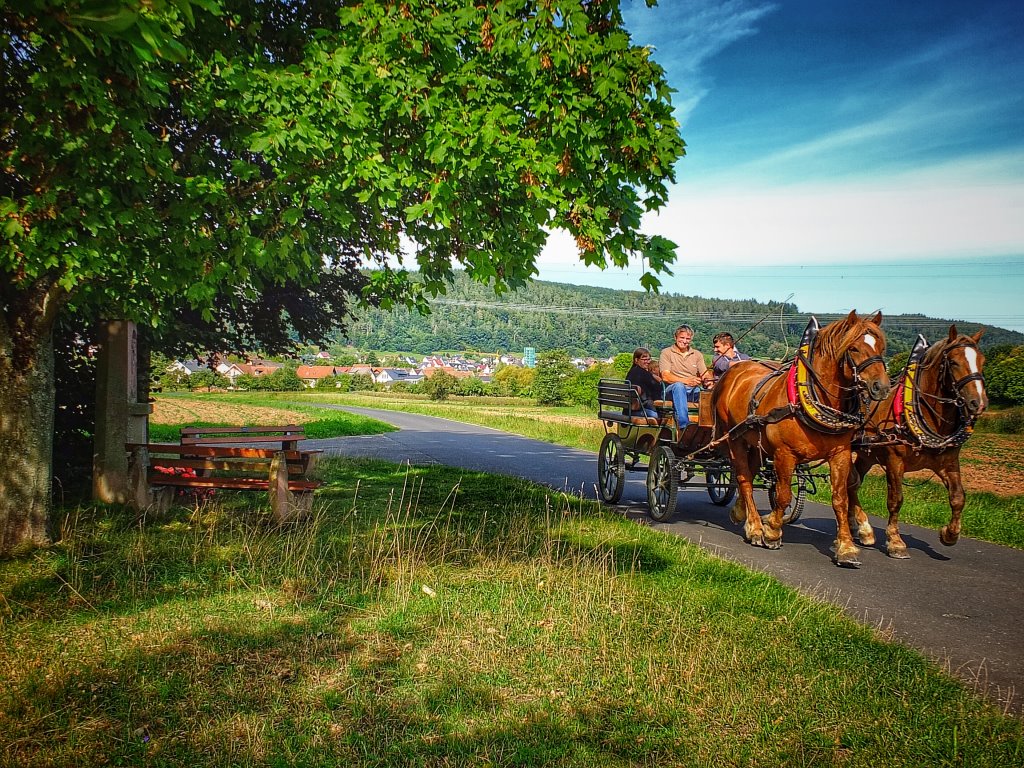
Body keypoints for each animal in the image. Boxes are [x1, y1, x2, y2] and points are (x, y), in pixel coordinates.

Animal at [712, 309, 888, 569]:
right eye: (854, 348)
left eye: (882, 347)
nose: (881, 387)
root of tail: (732, 371)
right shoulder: (785, 453)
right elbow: (784, 495)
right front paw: (771, 531)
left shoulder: (841, 454)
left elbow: (840, 498)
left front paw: (846, 548)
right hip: (735, 439)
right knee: (744, 478)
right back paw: (754, 527)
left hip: (754, 443)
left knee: (749, 475)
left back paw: (741, 513)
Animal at [847, 325, 983, 561]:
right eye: (954, 362)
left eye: (982, 360)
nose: (978, 402)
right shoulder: (894, 461)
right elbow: (896, 499)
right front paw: (895, 542)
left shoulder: (949, 462)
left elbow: (958, 497)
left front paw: (950, 534)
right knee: (851, 482)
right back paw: (863, 528)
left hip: (867, 455)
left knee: (852, 483)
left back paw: (859, 527)